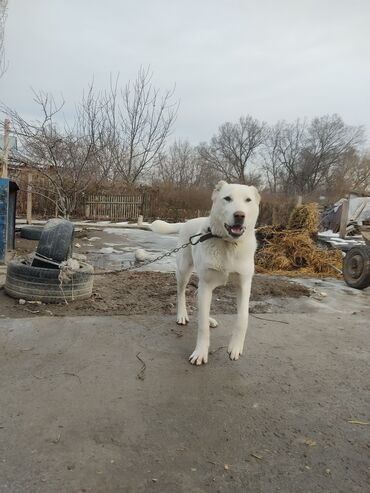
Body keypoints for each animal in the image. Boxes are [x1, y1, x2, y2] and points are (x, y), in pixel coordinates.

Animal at [150, 182, 260, 366]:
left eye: (248, 200)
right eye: (227, 198)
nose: (239, 215)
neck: (228, 244)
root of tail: (187, 222)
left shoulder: (244, 285)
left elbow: (243, 318)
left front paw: (235, 347)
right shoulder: (207, 285)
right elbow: (201, 326)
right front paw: (200, 352)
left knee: (198, 298)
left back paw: (209, 319)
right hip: (184, 272)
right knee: (181, 293)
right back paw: (182, 315)